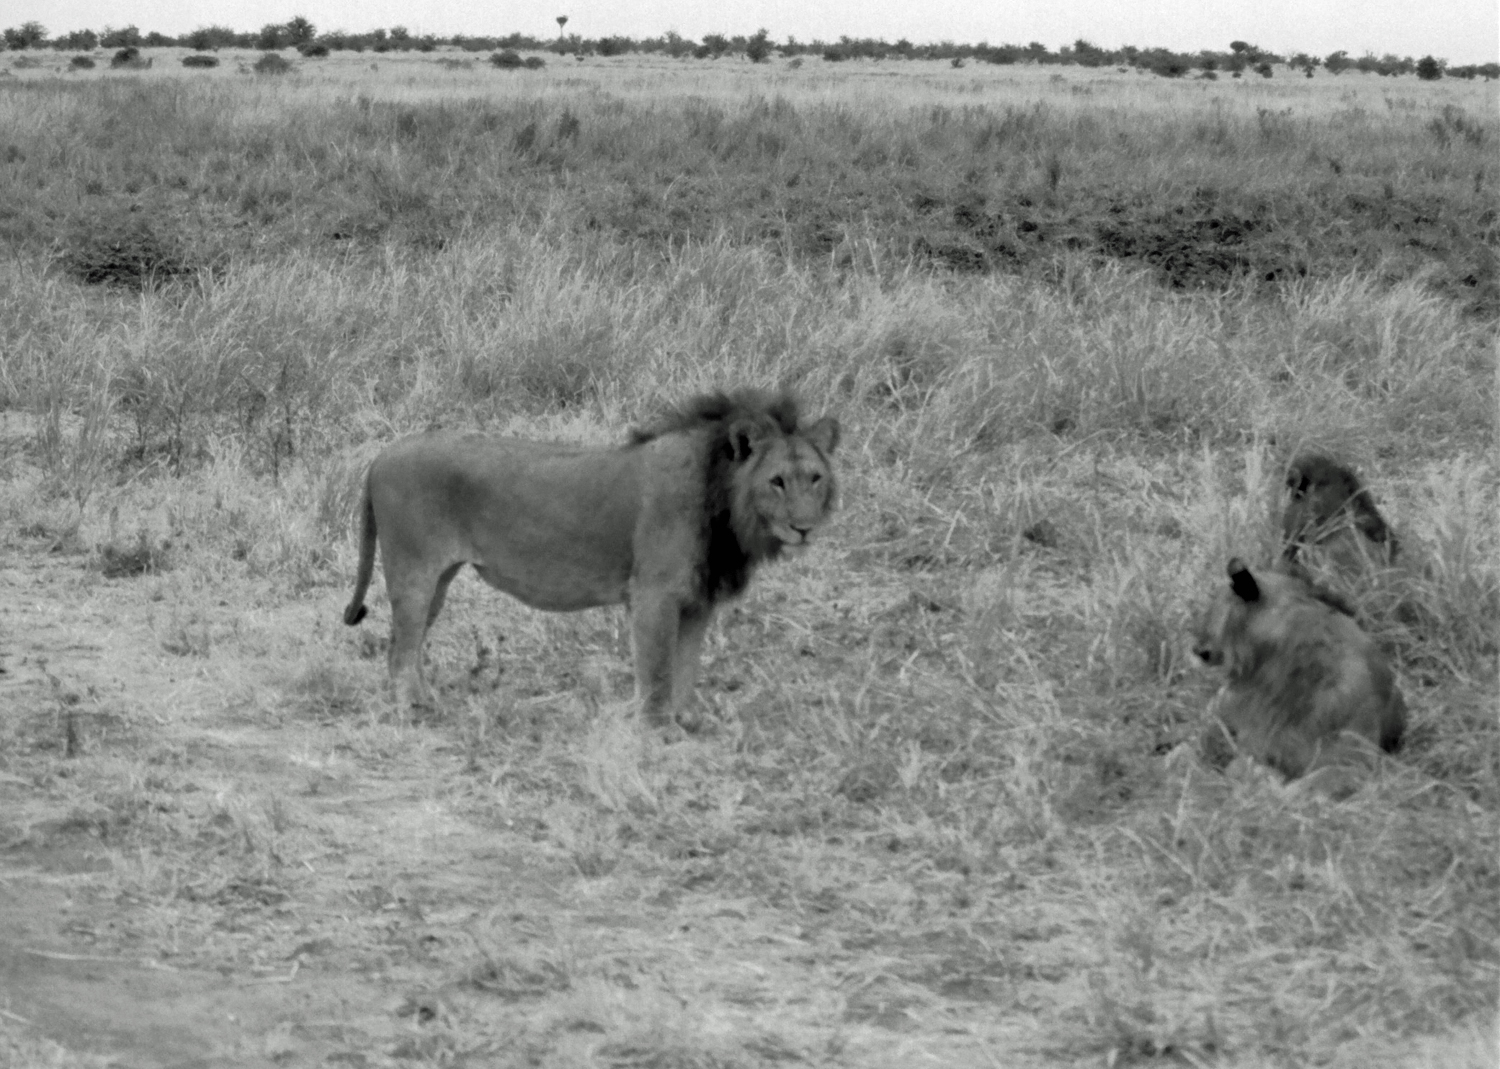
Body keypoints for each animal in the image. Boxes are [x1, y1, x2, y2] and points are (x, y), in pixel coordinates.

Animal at [340, 386, 840, 728]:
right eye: (777, 481)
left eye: (815, 478)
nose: (804, 527)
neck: (723, 505)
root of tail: (380, 456)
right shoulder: (654, 596)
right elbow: (658, 670)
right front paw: (657, 732)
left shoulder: (698, 602)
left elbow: (686, 667)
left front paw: (684, 721)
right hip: (414, 572)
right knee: (399, 650)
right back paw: (412, 710)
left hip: (438, 579)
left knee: (408, 646)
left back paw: (426, 700)